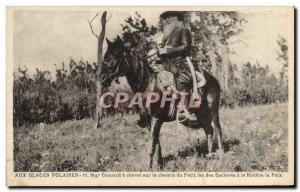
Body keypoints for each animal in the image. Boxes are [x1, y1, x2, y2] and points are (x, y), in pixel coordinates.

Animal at [102, 35, 224, 168]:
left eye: (113, 56)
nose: (102, 79)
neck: (147, 84)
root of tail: (213, 79)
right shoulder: (149, 121)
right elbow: (156, 142)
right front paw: (159, 164)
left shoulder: (156, 118)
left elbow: (152, 144)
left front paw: (149, 167)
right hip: (200, 112)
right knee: (209, 130)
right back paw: (210, 156)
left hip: (213, 108)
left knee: (217, 129)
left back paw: (221, 154)